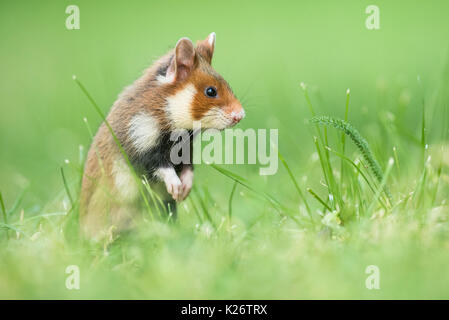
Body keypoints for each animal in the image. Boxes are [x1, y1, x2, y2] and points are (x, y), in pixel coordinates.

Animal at [79, 33, 243, 240]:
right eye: (211, 91)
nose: (240, 115)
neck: (166, 111)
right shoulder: (139, 148)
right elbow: (162, 167)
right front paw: (176, 188)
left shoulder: (185, 152)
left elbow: (188, 169)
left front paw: (183, 192)